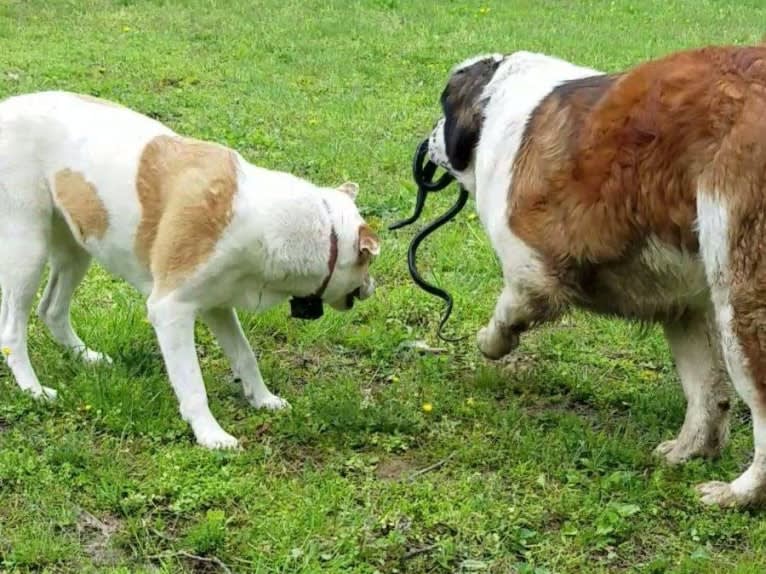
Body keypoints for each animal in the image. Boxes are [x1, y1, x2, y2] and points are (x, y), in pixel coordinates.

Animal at [0, 91, 380, 450]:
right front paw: (210, 435)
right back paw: (33, 389)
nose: (372, 286)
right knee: (13, 332)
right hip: (27, 251)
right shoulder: (170, 311)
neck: (269, 221)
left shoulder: (217, 305)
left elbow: (245, 355)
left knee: (51, 310)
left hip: (79, 244)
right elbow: (193, 385)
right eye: (367, 261)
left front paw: (263, 399)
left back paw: (86, 356)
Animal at [428, 46, 766, 508]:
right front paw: (690, 449)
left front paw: (491, 340)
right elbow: (706, 387)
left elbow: (509, 310)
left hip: (741, 299)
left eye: (443, 108)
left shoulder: (528, 264)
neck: (497, 100)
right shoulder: (684, 306)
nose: (428, 138)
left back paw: (738, 493)